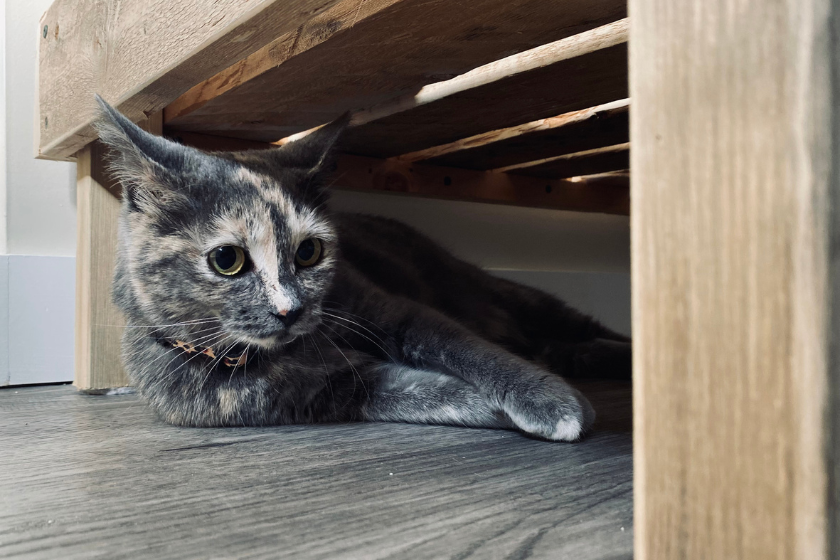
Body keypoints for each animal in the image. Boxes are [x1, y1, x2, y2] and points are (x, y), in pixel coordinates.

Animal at [95, 98, 632, 444]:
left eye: (309, 252)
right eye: (227, 260)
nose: (290, 310)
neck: (287, 351)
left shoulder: (386, 310)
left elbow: (462, 346)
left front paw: (550, 401)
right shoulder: (338, 391)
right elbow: (427, 393)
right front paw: (498, 407)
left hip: (508, 295)